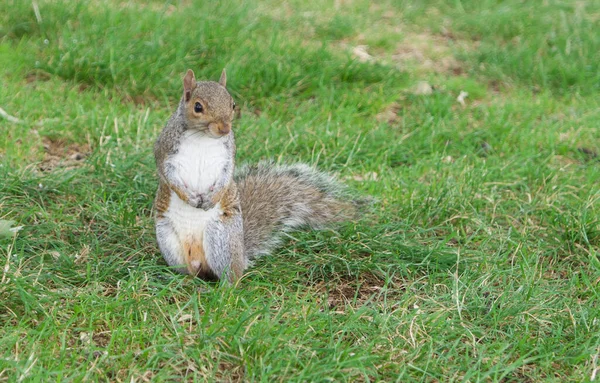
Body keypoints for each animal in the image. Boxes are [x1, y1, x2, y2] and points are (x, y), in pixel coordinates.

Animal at [152, 69, 356, 282]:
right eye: (197, 107)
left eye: (232, 104)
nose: (225, 128)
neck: (202, 137)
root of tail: (241, 256)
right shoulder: (164, 151)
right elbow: (167, 175)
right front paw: (189, 197)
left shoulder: (229, 157)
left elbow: (226, 178)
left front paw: (212, 199)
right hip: (168, 239)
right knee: (191, 272)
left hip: (222, 237)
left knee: (231, 277)